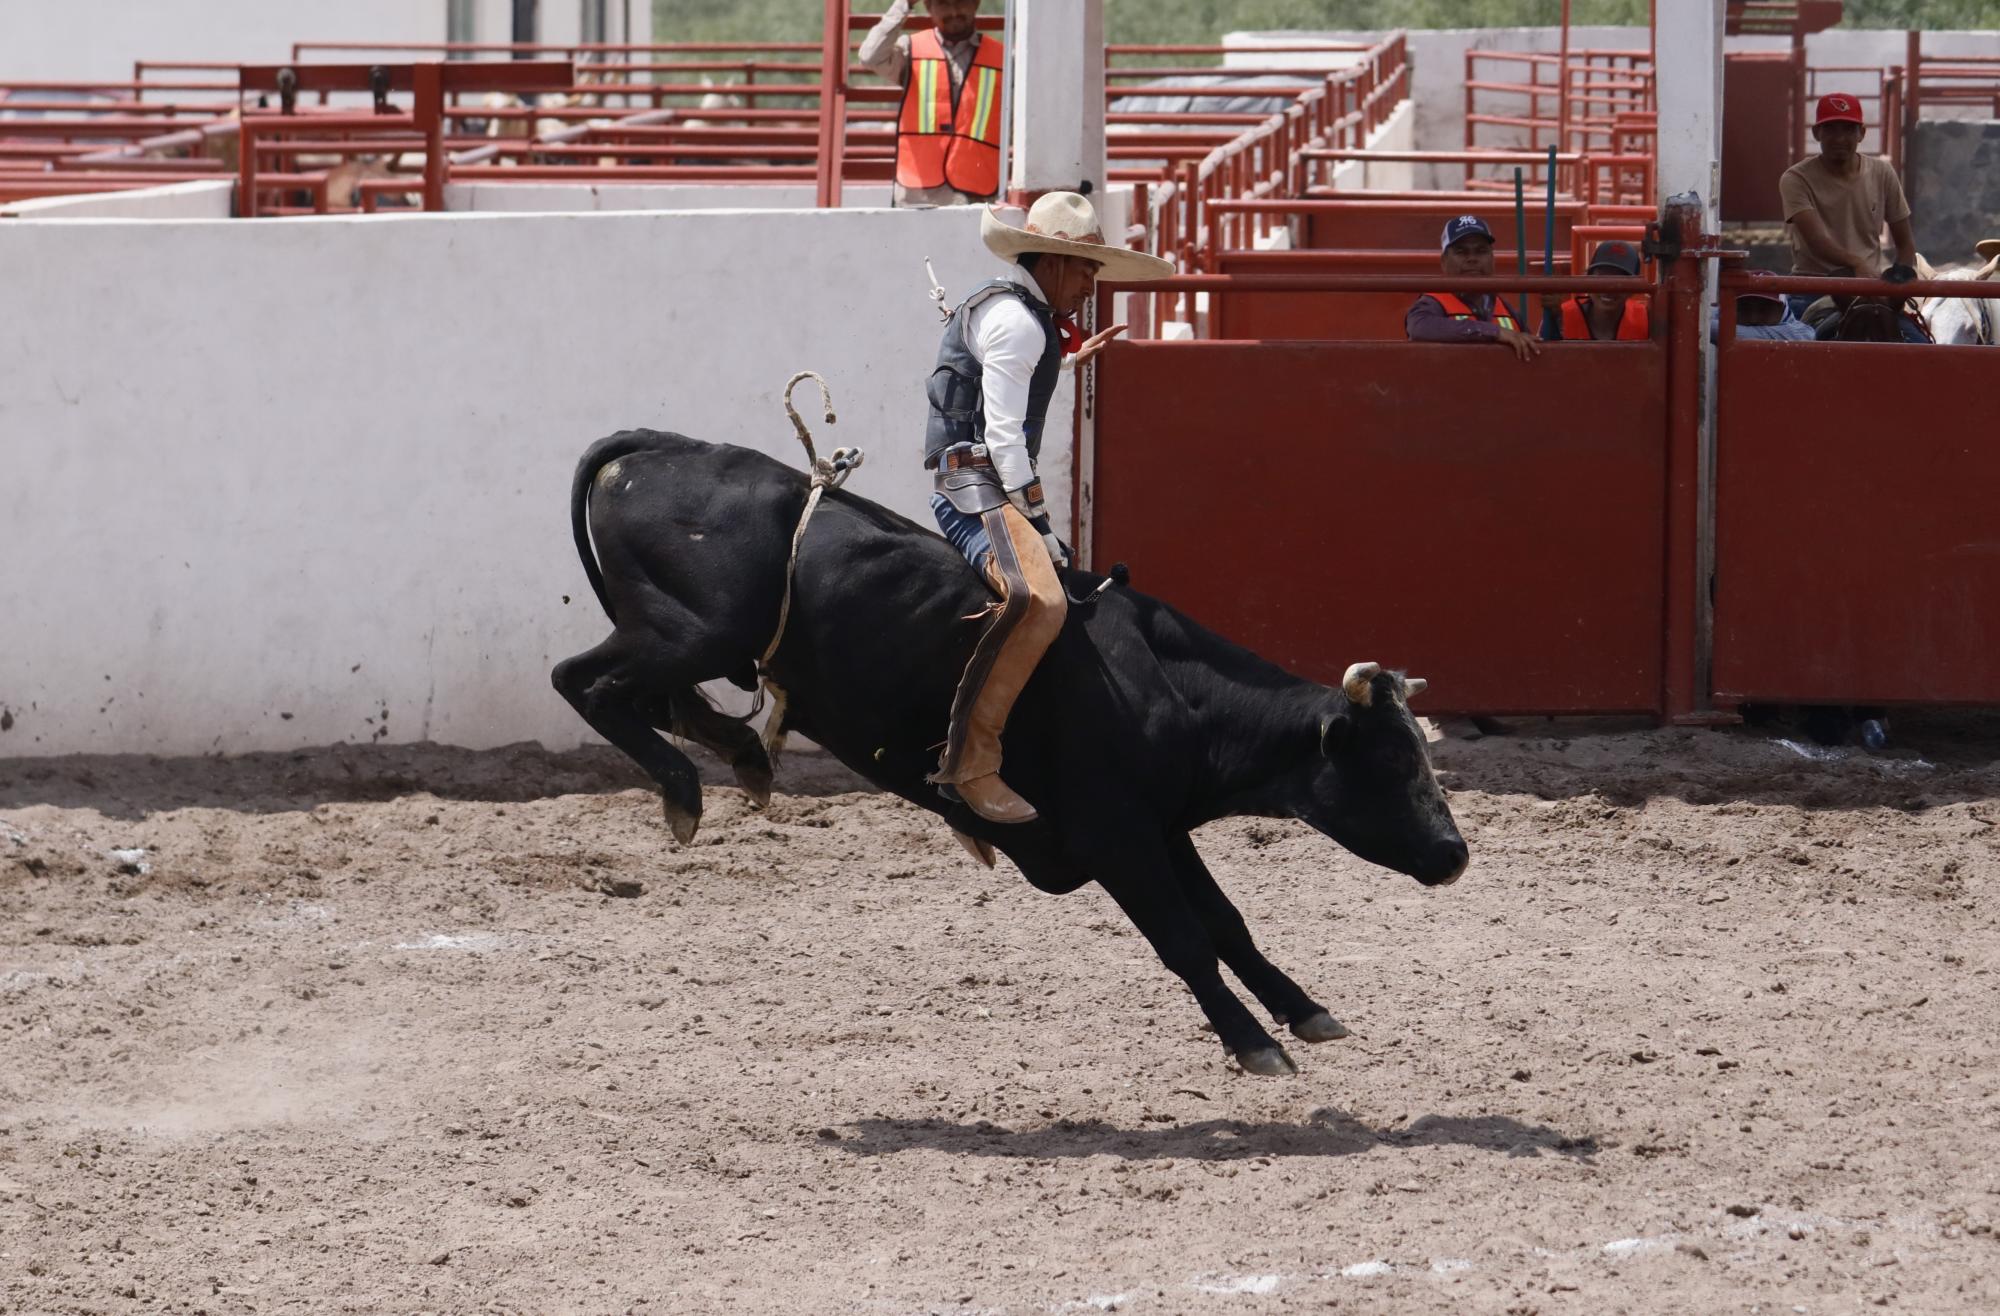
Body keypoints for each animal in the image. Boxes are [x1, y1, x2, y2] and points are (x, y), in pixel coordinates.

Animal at [556, 430, 1464, 1080]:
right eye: (1391, 764)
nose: (1455, 854)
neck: (1158, 682)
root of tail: (659, 447)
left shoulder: (1163, 828)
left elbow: (1227, 923)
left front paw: (1305, 1011)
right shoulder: (1116, 838)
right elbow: (1184, 939)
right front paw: (1252, 1044)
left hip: (692, 641)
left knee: (660, 701)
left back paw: (741, 754)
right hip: (688, 633)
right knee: (584, 680)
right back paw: (686, 790)